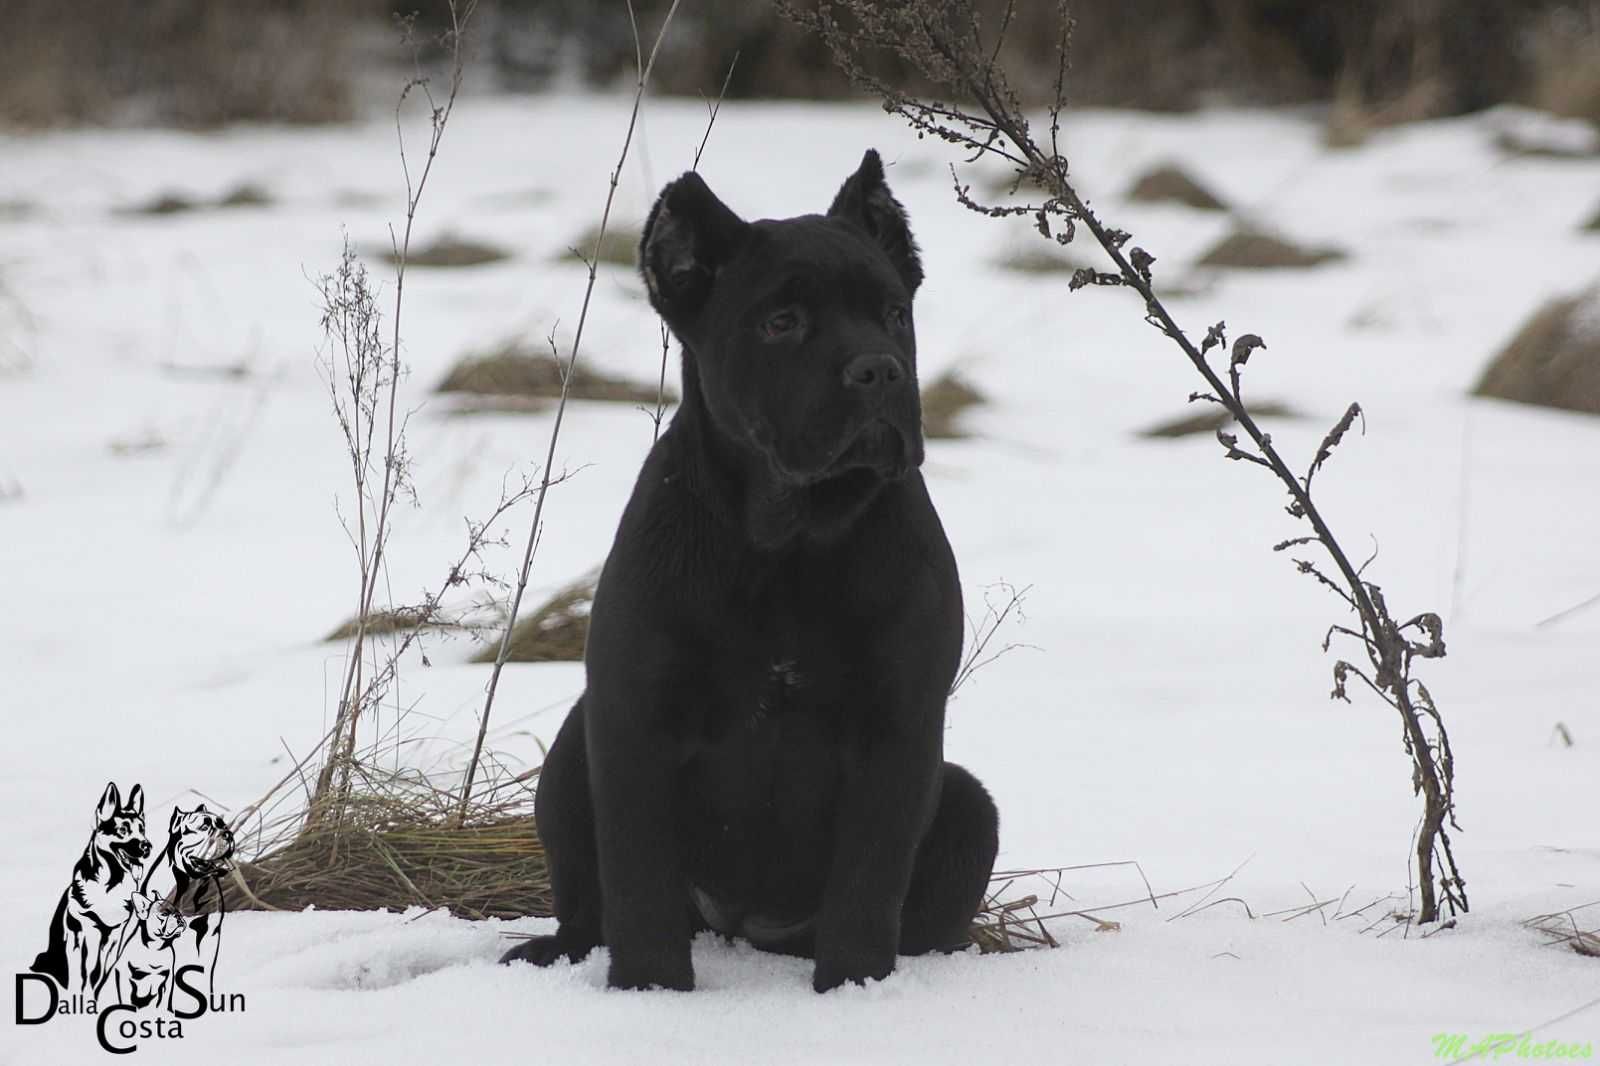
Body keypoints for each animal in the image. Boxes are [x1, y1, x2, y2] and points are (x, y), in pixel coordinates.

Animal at [32, 777, 151, 992]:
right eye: (123, 830)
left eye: (142, 830)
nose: (147, 846)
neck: (109, 885)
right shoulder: (85, 932)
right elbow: (85, 971)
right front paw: (84, 994)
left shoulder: (114, 935)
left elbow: (100, 970)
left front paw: (98, 991)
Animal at [502, 147, 998, 985]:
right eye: (780, 322)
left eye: (895, 312)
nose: (879, 371)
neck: (788, 541)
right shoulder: (633, 719)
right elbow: (638, 882)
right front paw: (651, 989)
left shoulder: (898, 729)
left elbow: (866, 887)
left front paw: (854, 989)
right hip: (572, 754)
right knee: (586, 902)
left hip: (968, 806)